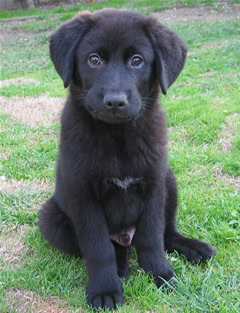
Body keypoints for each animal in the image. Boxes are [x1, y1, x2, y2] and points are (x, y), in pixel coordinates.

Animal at [38, 9, 216, 310]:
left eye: (137, 61)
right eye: (94, 60)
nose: (114, 101)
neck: (118, 136)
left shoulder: (154, 186)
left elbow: (152, 238)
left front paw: (160, 273)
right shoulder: (83, 196)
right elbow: (99, 249)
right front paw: (105, 289)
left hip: (170, 182)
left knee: (165, 234)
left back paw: (193, 247)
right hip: (51, 217)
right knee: (114, 247)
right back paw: (121, 268)